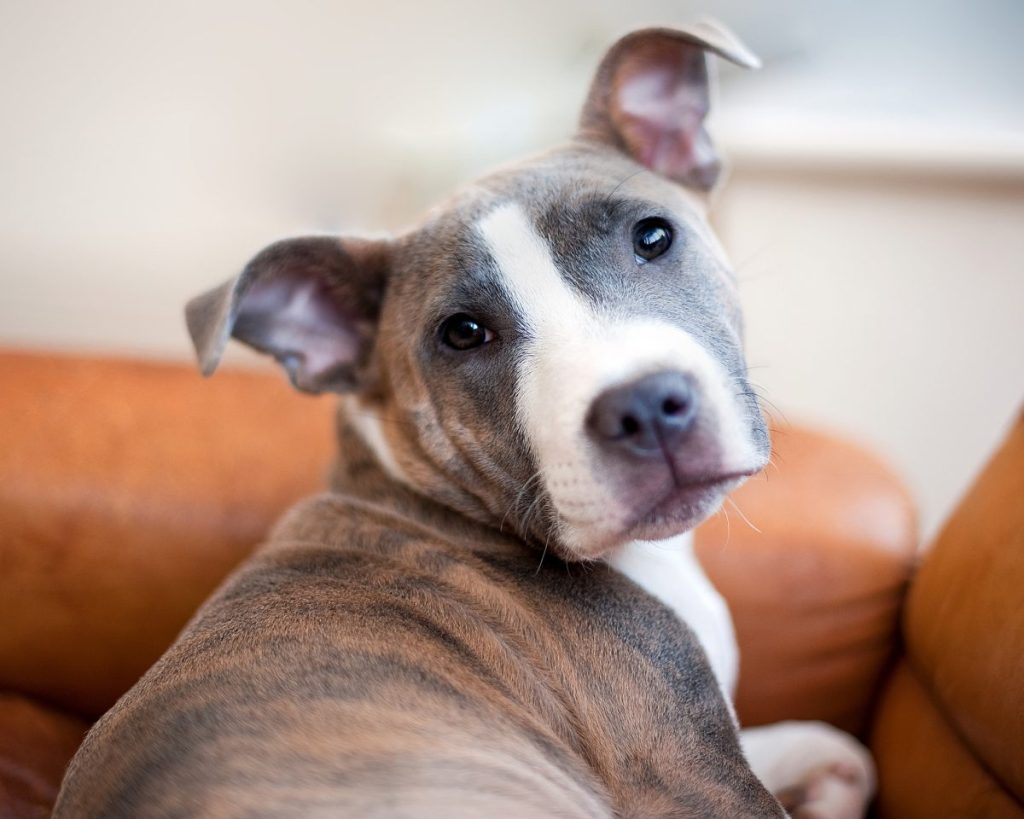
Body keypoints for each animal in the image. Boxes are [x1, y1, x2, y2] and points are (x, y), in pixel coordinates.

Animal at [56, 20, 872, 818]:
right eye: (464, 333)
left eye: (653, 236)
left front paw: (831, 774)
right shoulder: (688, 776)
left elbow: (813, 735)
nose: (643, 405)